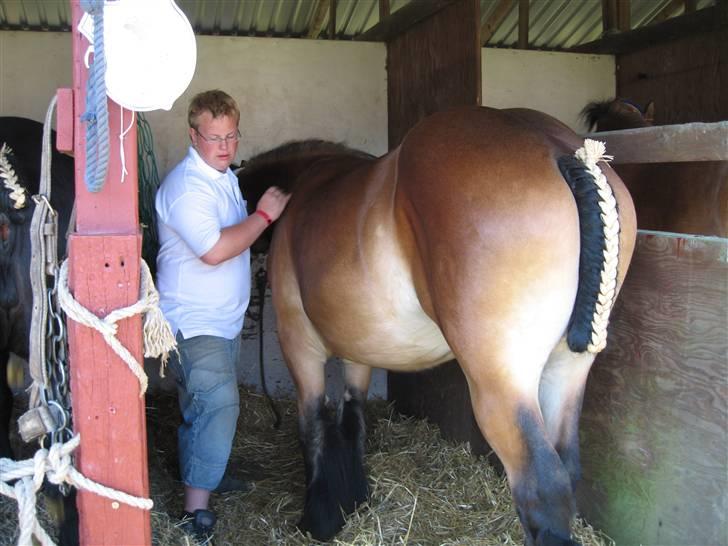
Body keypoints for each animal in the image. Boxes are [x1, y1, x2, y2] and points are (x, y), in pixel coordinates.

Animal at [239, 104, 636, 540]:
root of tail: (561, 150)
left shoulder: (298, 343)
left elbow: (312, 427)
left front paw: (320, 518)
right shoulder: (358, 349)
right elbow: (353, 417)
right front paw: (354, 499)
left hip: (500, 385)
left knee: (544, 489)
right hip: (567, 372)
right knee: (568, 466)